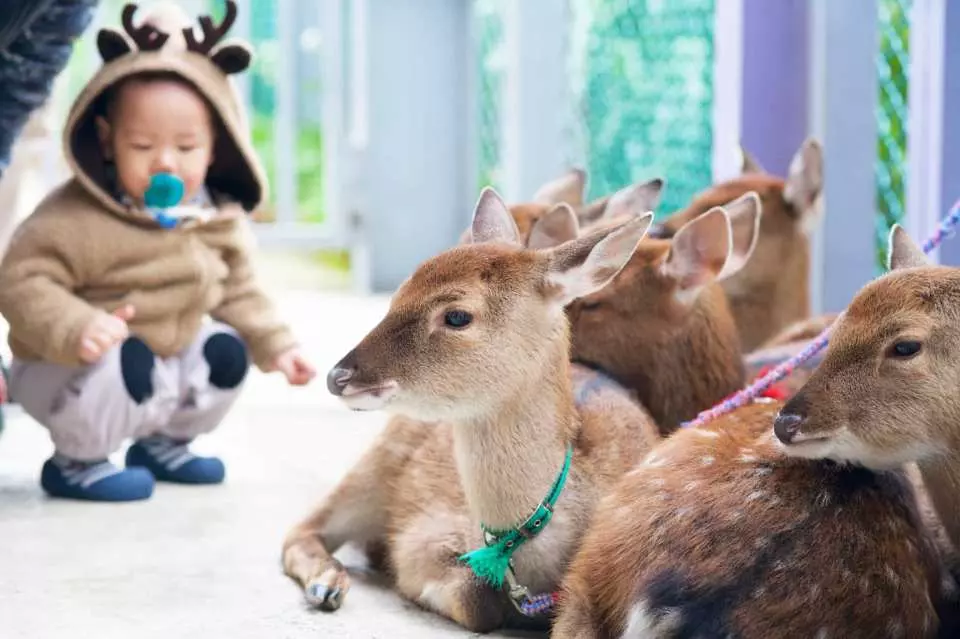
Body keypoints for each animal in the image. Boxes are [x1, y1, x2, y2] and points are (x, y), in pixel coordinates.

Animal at [281, 188, 760, 632]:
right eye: (399, 293)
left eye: (457, 316)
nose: (338, 376)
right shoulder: (424, 533)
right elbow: (475, 599)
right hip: (376, 464)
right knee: (301, 529)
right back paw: (327, 584)